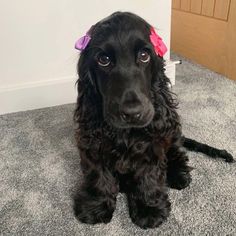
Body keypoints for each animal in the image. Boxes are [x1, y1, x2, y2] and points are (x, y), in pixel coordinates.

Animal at [74, 11, 234, 229]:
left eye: (144, 55)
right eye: (103, 59)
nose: (132, 112)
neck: (125, 133)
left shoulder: (153, 143)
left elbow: (148, 176)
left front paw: (149, 209)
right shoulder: (92, 141)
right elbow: (97, 174)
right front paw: (95, 206)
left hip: (173, 134)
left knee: (177, 153)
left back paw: (179, 175)